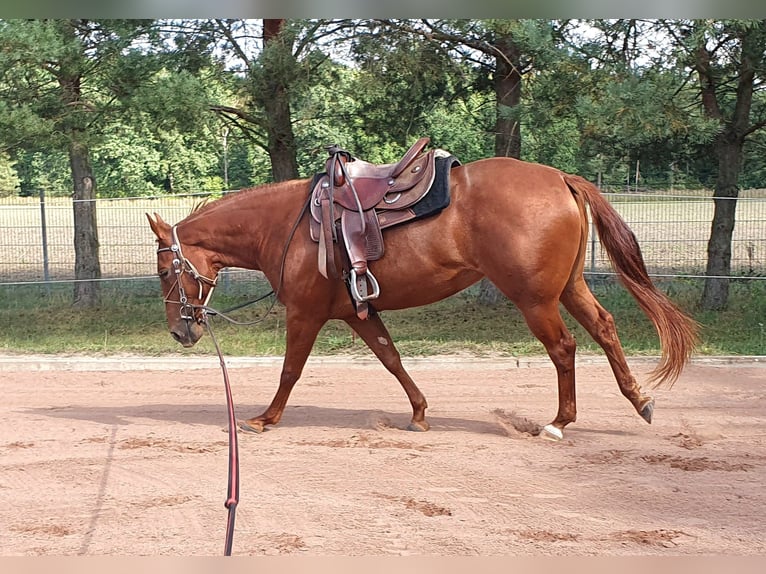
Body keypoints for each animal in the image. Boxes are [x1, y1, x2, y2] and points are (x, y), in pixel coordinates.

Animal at [146, 154, 698, 440]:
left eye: (165, 269)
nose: (179, 329)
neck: (288, 225)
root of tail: (561, 178)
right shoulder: (357, 314)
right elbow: (391, 359)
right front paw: (418, 412)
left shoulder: (305, 314)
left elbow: (290, 370)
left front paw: (264, 418)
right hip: (568, 287)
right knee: (604, 328)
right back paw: (640, 401)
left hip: (536, 299)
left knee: (564, 349)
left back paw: (560, 422)